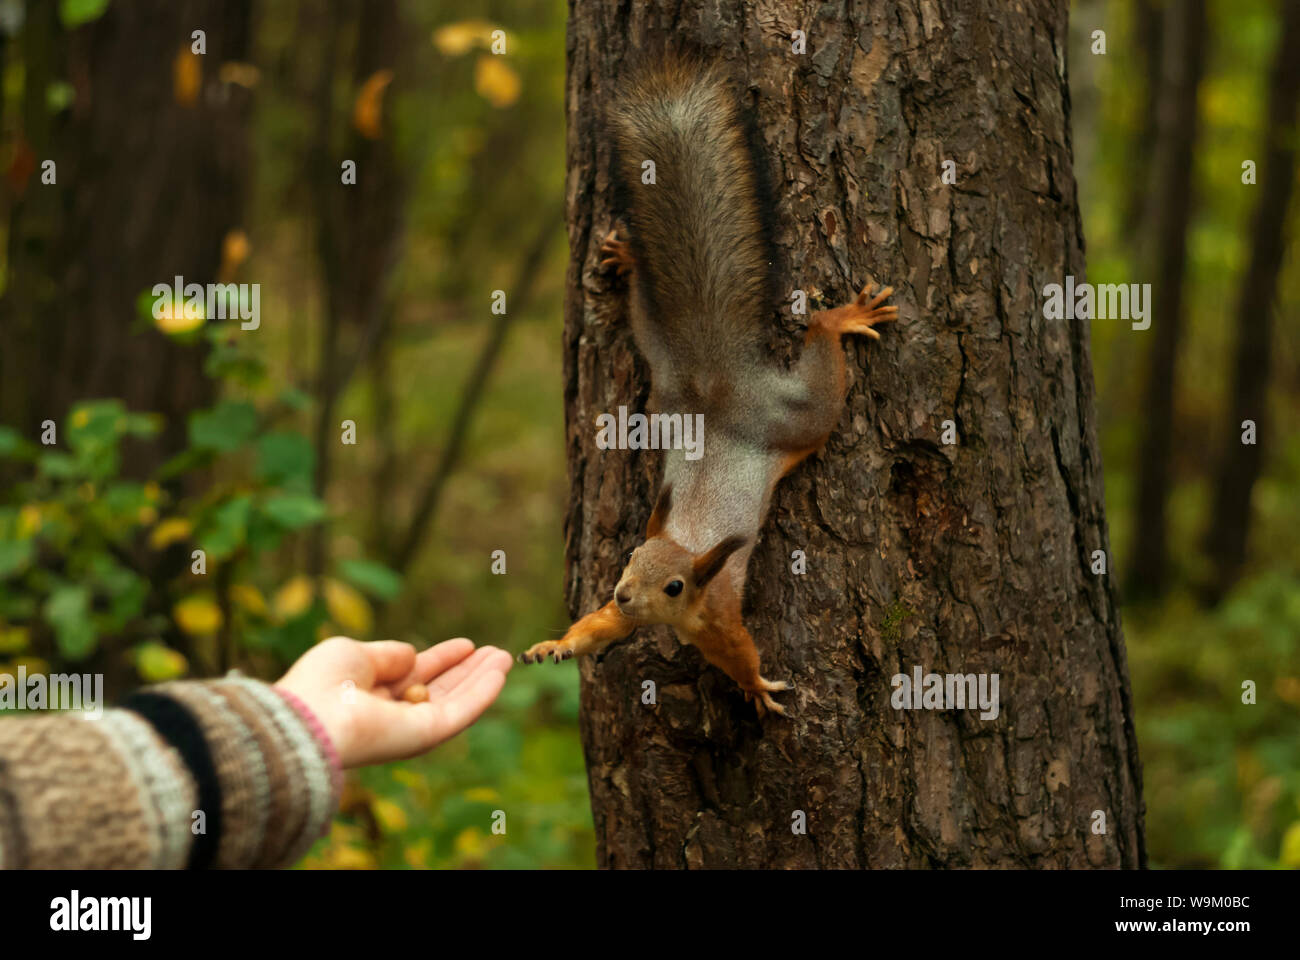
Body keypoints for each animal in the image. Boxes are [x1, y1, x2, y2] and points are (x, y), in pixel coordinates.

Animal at [517, 55, 894, 712]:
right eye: (630, 557)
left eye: (673, 586)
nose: (622, 592)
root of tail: (717, 383)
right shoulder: (624, 612)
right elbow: (597, 629)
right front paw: (556, 645)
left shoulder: (718, 614)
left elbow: (738, 652)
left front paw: (756, 687)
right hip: (661, 363)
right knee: (645, 309)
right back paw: (629, 262)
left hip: (798, 415)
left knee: (822, 374)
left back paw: (840, 319)